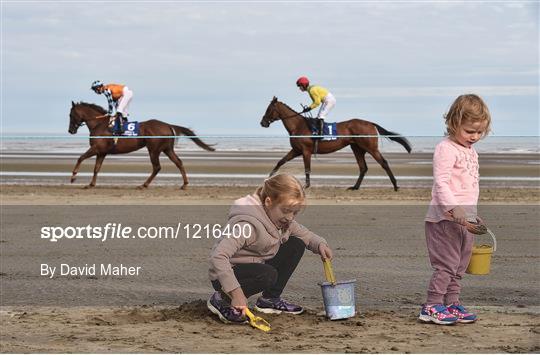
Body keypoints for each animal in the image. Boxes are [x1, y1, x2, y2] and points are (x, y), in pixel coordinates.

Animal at [69, 101, 215, 191]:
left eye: (71, 114)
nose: (70, 130)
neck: (100, 124)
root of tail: (168, 125)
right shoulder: (101, 152)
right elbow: (96, 168)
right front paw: (91, 184)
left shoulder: (96, 149)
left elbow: (80, 158)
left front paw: (73, 177)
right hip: (167, 149)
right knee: (178, 162)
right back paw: (184, 184)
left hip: (154, 150)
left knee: (157, 167)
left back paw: (143, 185)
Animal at [260, 97, 412, 191]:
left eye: (269, 109)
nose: (262, 122)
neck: (298, 125)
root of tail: (370, 123)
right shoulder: (296, 150)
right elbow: (280, 161)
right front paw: (269, 178)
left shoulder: (305, 151)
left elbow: (307, 168)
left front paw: (306, 185)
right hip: (357, 148)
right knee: (363, 167)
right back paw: (355, 187)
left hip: (370, 147)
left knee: (383, 163)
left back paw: (395, 185)